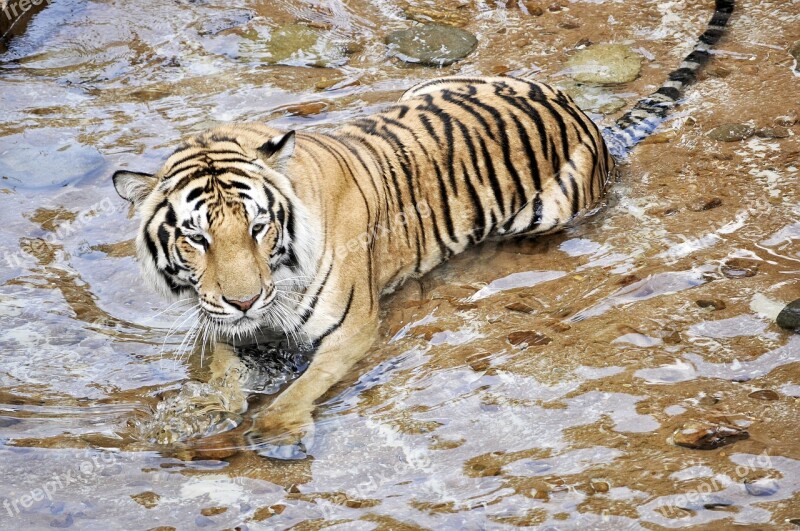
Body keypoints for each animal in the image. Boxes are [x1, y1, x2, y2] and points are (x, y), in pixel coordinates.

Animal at [114, 0, 736, 460]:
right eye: (197, 238)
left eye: (259, 227)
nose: (244, 301)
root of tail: (591, 122)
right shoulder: (221, 324)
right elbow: (220, 369)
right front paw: (199, 413)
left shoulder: (352, 328)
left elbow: (305, 382)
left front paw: (278, 428)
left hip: (548, 210)